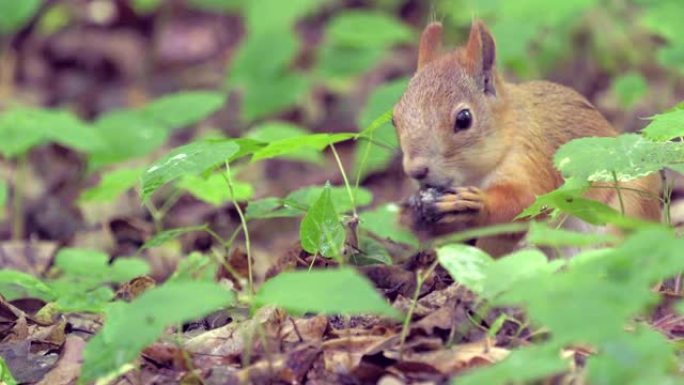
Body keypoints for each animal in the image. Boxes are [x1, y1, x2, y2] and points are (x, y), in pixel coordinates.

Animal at [392, 20, 660, 255]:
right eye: (395, 118)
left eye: (464, 119)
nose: (415, 171)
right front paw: (412, 212)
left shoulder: (532, 156)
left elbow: (528, 202)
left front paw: (474, 203)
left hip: (630, 208)